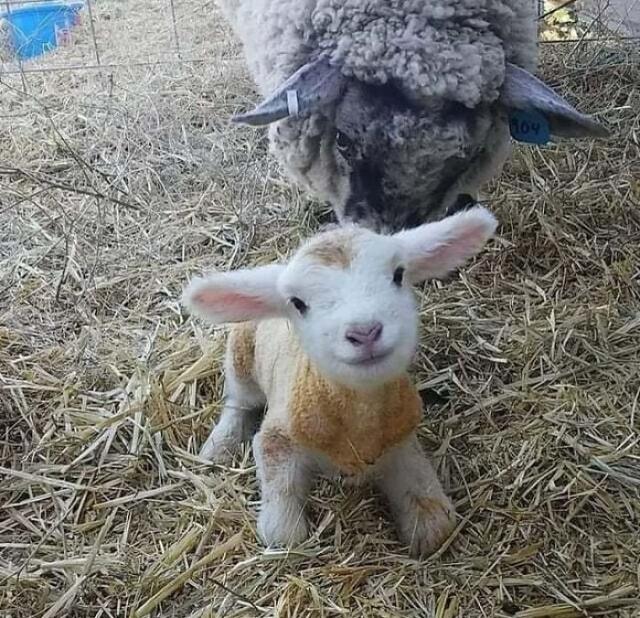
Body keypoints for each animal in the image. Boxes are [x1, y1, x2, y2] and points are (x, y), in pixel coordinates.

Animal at [182, 205, 497, 556]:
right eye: (298, 303)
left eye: (398, 274)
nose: (365, 332)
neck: (358, 421)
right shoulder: (278, 439)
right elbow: (283, 533)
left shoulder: (400, 439)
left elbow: (435, 520)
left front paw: (425, 524)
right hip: (241, 355)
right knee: (239, 401)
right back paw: (219, 445)